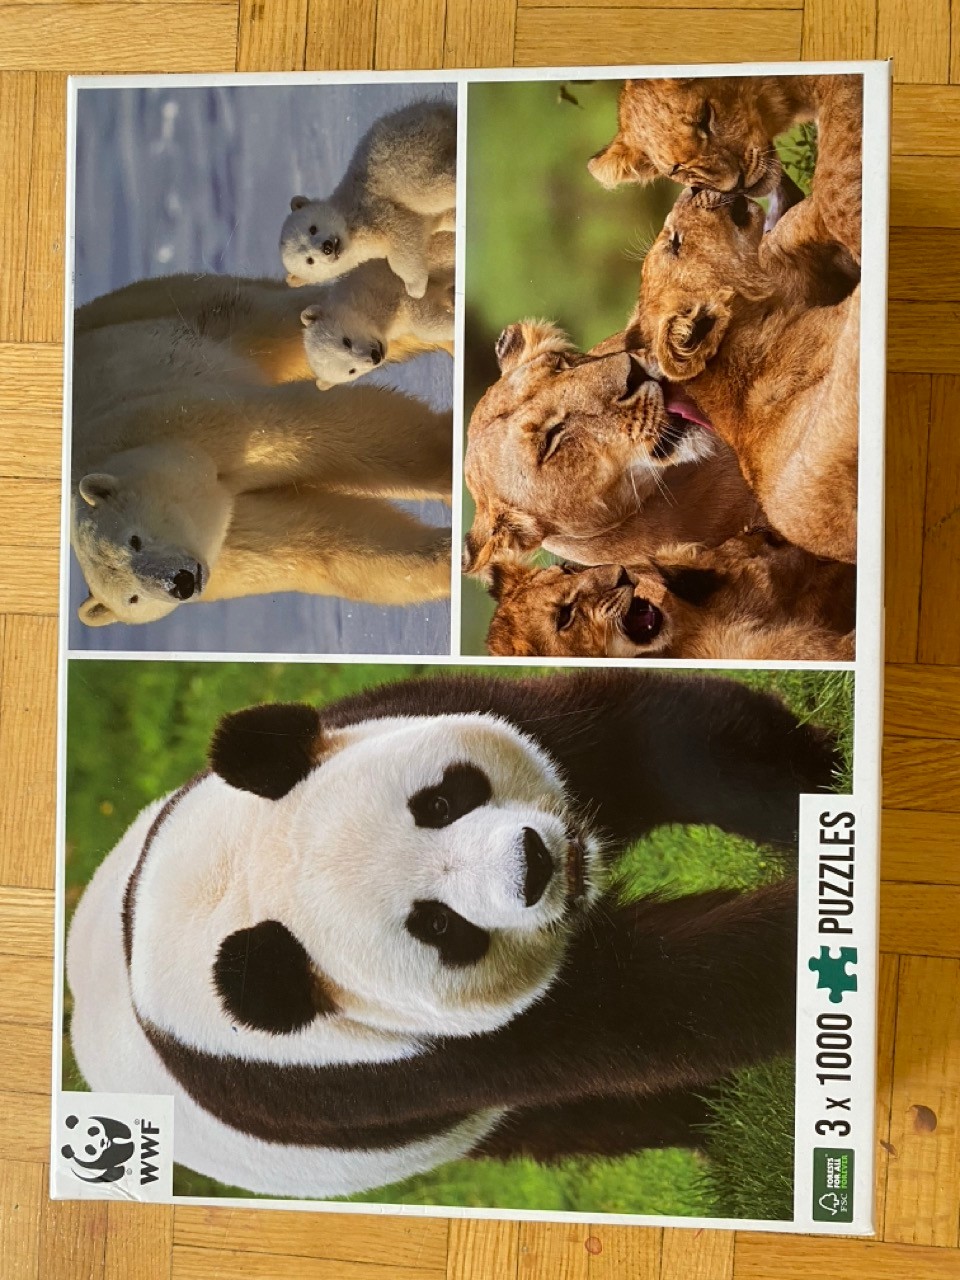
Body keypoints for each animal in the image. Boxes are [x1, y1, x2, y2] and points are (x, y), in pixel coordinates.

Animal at [67, 667, 839, 1197]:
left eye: (438, 802)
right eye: (438, 925)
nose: (535, 863)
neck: (227, 889)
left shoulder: (404, 712)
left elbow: (647, 742)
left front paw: (824, 793)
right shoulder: (391, 1058)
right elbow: (656, 1002)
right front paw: (802, 943)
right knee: (580, 1117)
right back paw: (713, 1124)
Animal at [72, 273, 453, 626]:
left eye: (133, 540)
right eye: (133, 598)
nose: (180, 583)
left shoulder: (173, 420)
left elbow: (312, 433)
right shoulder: (224, 549)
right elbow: (318, 545)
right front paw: (444, 558)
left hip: (173, 311)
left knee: (286, 325)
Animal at [280, 100, 457, 299]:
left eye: (312, 228)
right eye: (309, 260)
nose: (327, 247)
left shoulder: (371, 211)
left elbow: (403, 240)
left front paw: (415, 288)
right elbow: (434, 222)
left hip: (401, 156)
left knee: (426, 189)